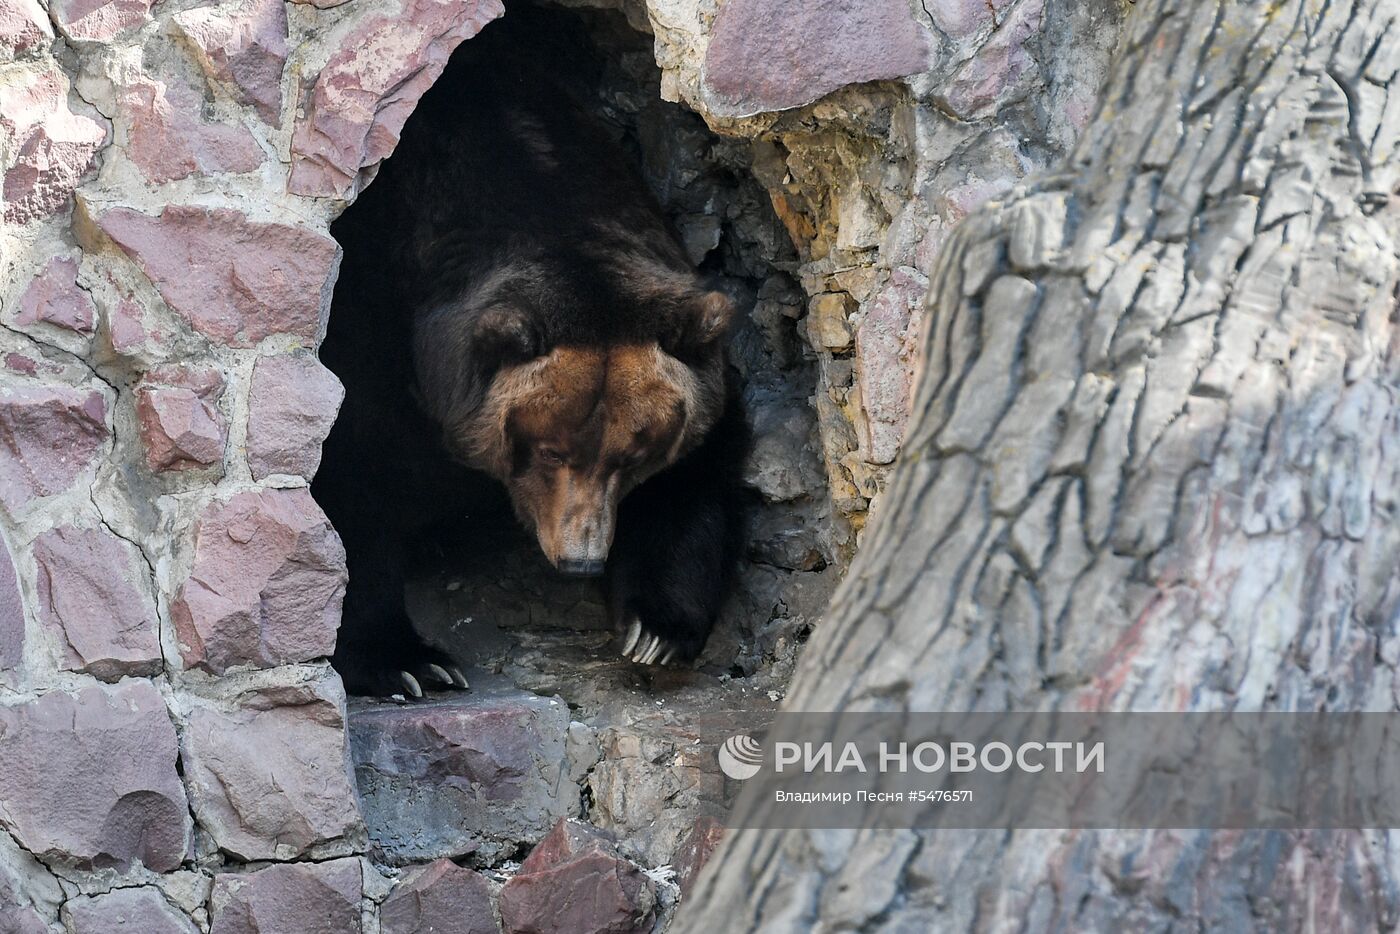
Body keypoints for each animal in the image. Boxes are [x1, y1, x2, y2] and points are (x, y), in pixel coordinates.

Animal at [312, 21, 750, 697]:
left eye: (635, 453)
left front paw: (656, 628)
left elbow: (699, 465)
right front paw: (407, 661)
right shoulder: (372, 325)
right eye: (548, 449)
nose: (581, 558)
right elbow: (353, 480)